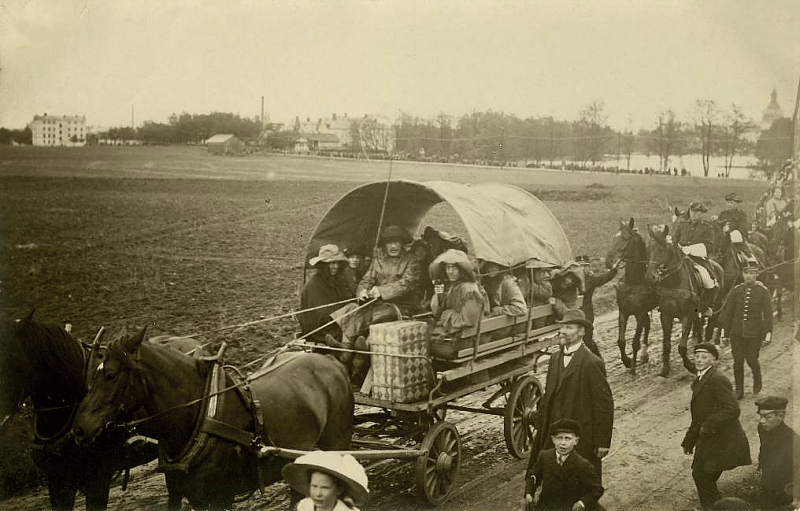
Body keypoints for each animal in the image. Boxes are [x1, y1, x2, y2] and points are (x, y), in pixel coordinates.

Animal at [72, 330, 354, 510]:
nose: (79, 430)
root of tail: (333, 362)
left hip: (336, 446)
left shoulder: (218, 497)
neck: (197, 417)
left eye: (110, 375)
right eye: (93, 373)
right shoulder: (178, 491)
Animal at [604, 219, 660, 376]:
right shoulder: (624, 311)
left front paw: (633, 368)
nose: (608, 261)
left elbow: (635, 342)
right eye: (614, 236)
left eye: (625, 238)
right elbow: (621, 341)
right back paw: (644, 355)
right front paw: (627, 361)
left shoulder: (640, 312)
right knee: (647, 325)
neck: (634, 281)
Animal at [644, 226, 724, 378]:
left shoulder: (687, 316)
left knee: (712, 321)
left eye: (661, 249)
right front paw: (665, 368)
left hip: (718, 303)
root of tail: (718, 265)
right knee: (699, 326)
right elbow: (666, 344)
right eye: (648, 249)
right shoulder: (666, 316)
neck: (674, 282)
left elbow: (681, 347)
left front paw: (690, 366)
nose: (650, 277)